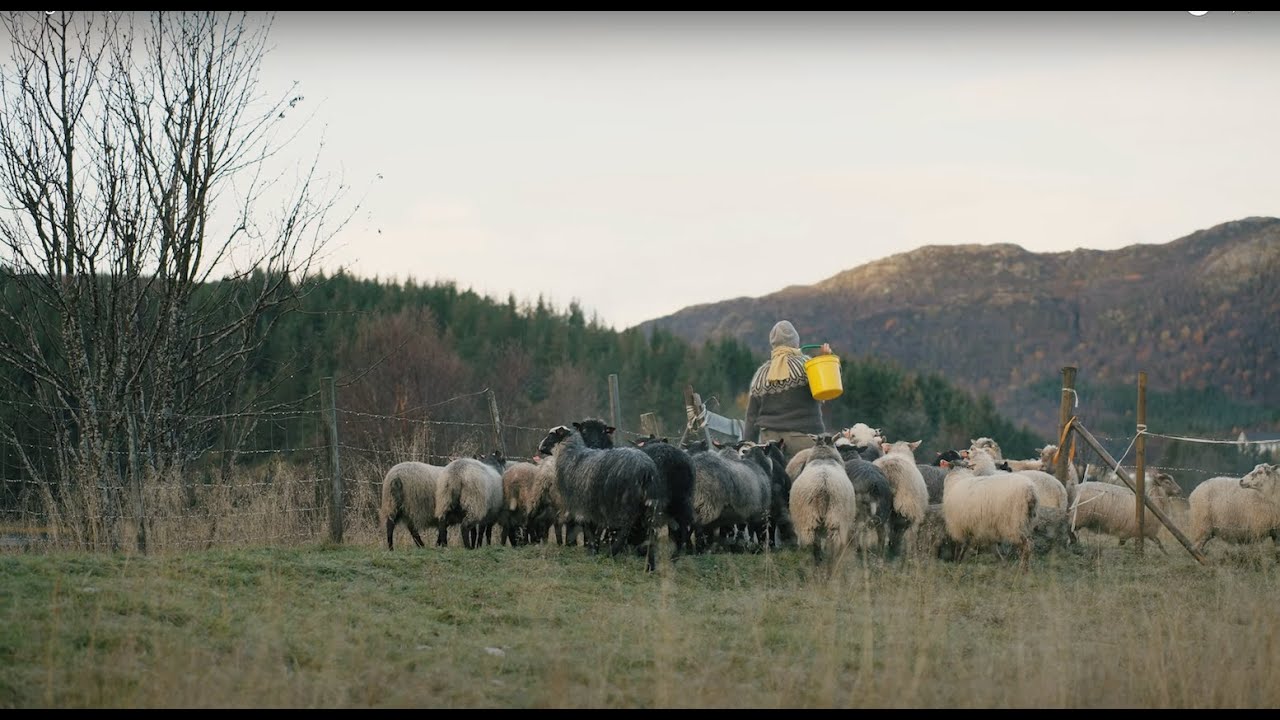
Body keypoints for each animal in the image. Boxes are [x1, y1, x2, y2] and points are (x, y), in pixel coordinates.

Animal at [538, 423, 665, 571]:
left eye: (551, 435)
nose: (539, 446)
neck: (571, 457)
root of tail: (646, 469)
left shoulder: (582, 506)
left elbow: (588, 529)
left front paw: (592, 549)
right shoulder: (597, 507)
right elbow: (597, 529)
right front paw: (594, 549)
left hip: (624, 504)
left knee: (624, 529)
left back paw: (612, 552)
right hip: (650, 506)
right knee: (651, 533)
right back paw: (650, 566)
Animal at [789, 434, 858, 565]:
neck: (824, 458)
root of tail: (823, 486)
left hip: (810, 518)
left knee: (814, 543)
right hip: (835, 517)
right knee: (831, 544)